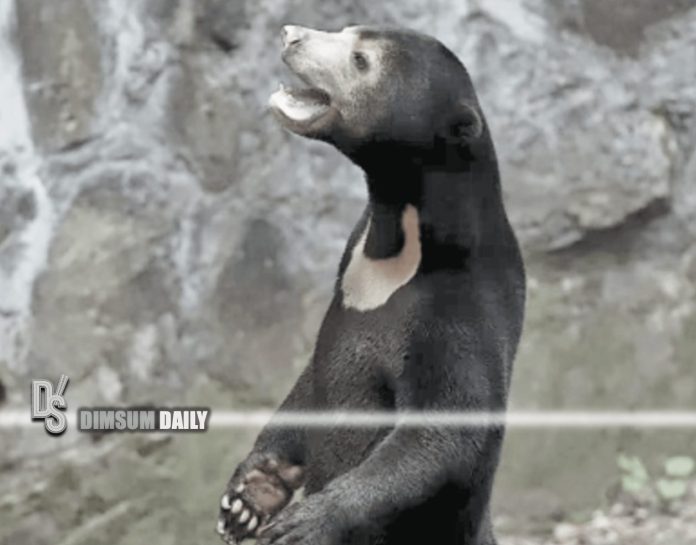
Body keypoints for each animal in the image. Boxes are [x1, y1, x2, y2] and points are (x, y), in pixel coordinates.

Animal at [217, 24, 525, 545]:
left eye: (361, 60)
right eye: (346, 31)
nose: (290, 33)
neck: (400, 239)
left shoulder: (459, 313)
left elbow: (444, 430)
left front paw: (305, 522)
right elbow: (308, 384)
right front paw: (247, 498)